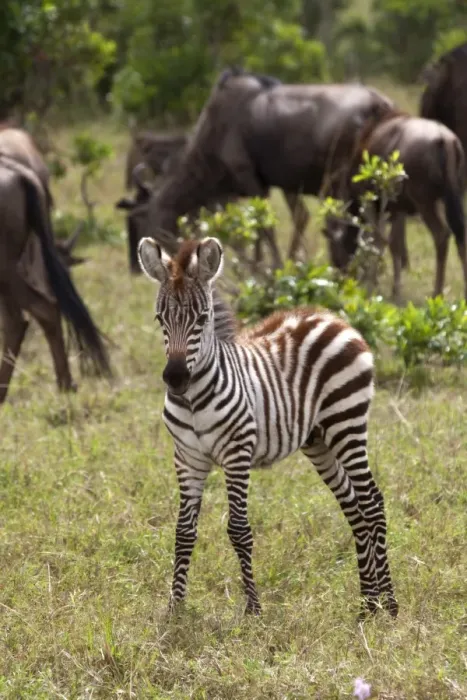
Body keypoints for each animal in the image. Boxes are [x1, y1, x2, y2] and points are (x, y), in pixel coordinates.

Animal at [137, 235, 398, 618]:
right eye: (159, 318)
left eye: (202, 318)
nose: (175, 379)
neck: (194, 400)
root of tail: (332, 318)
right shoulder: (187, 459)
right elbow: (183, 533)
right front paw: (175, 608)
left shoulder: (237, 453)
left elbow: (238, 530)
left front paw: (254, 608)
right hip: (317, 440)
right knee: (353, 507)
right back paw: (367, 604)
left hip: (346, 422)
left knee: (372, 503)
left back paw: (390, 605)